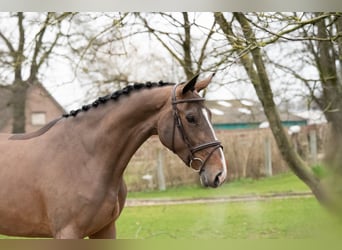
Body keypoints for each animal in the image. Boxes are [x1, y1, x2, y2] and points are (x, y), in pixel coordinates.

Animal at [0, 73, 227, 238]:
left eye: (210, 114)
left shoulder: (105, 229)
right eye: (191, 117)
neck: (86, 157)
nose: (220, 173)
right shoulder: (67, 233)